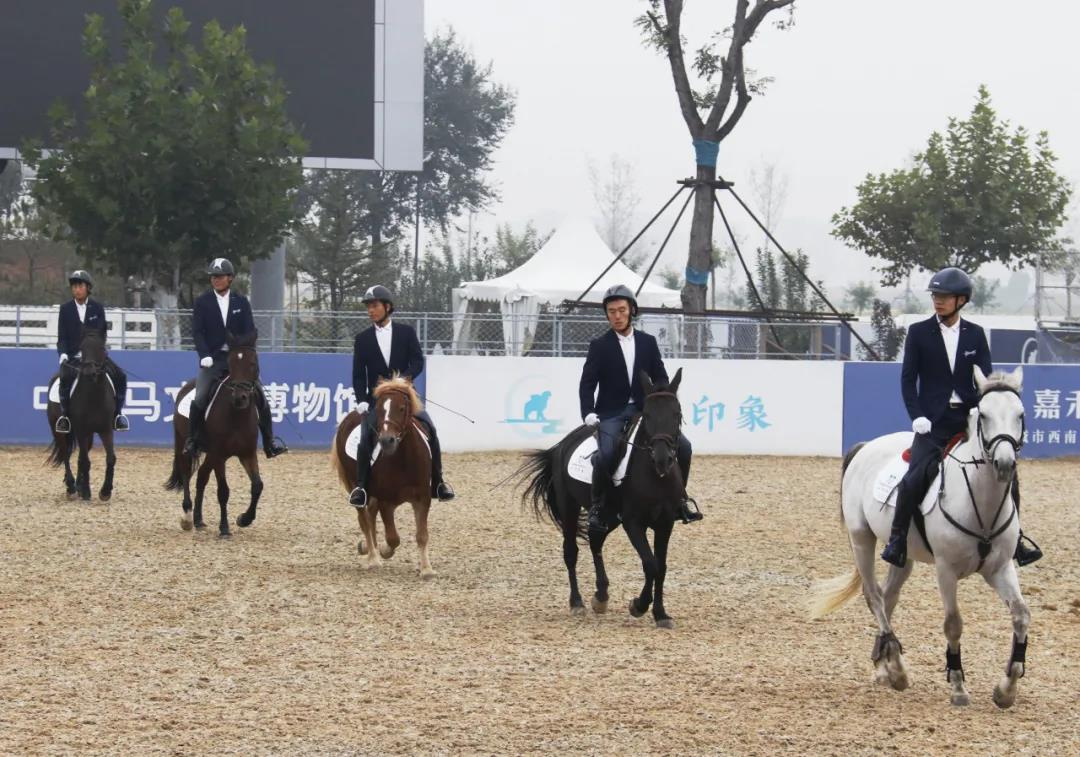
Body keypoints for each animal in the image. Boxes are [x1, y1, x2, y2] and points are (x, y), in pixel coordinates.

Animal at [44, 330, 118, 501]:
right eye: (82, 349)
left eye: (101, 348)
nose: (89, 372)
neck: (95, 395)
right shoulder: (82, 430)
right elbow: (85, 460)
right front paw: (86, 491)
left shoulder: (105, 430)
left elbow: (110, 458)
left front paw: (105, 491)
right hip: (59, 430)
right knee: (65, 454)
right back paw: (71, 487)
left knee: (77, 456)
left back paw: (78, 485)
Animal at [165, 330, 264, 537]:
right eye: (231, 363)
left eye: (253, 363)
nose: (240, 398)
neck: (236, 415)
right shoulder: (220, 455)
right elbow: (223, 491)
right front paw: (224, 528)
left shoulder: (247, 454)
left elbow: (257, 485)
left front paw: (244, 519)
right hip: (183, 443)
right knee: (186, 473)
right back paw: (187, 517)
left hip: (209, 454)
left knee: (201, 477)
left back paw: (199, 520)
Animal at [328, 375, 434, 578]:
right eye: (378, 410)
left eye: (401, 408)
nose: (387, 441)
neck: (404, 460)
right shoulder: (387, 502)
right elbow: (393, 538)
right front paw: (384, 551)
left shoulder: (422, 498)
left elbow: (422, 535)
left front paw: (426, 569)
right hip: (356, 486)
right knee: (364, 520)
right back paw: (373, 557)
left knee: (370, 516)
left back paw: (369, 549)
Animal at [516, 367, 682, 626]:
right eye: (647, 415)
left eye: (677, 414)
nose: (662, 459)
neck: (655, 476)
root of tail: (562, 444)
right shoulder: (633, 523)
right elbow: (650, 564)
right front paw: (639, 606)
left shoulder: (665, 524)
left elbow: (661, 567)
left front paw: (661, 614)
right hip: (570, 506)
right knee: (571, 552)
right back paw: (577, 603)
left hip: (608, 515)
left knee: (595, 541)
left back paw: (601, 596)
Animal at [812, 367, 1032, 708]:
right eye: (983, 415)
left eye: (1020, 415)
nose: (1005, 464)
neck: (981, 501)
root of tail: (867, 446)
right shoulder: (946, 570)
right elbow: (953, 624)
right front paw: (958, 686)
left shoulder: (1000, 567)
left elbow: (1021, 616)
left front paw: (1007, 688)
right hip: (861, 538)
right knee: (873, 596)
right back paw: (898, 670)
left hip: (902, 555)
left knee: (889, 596)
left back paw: (885, 665)